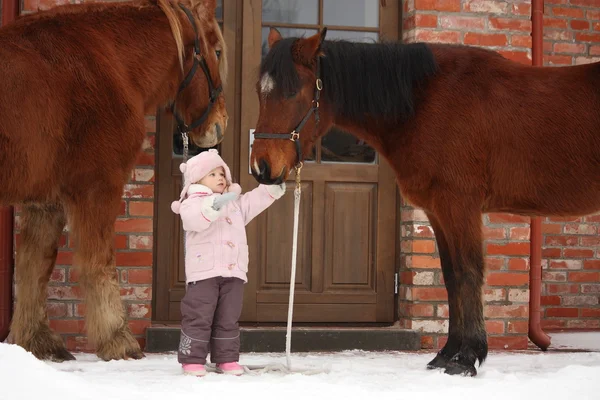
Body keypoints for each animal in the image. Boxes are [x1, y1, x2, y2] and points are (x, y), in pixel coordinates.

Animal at [0, 0, 227, 360]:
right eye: (217, 51)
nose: (220, 125)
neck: (109, 63)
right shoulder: (98, 188)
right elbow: (99, 263)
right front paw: (117, 339)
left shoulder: (46, 202)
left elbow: (34, 266)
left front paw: (36, 340)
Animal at [251, 28, 600, 378]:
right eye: (259, 91)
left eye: (292, 91)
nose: (261, 168)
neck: (425, 101)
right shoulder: (438, 211)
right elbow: (450, 276)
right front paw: (446, 354)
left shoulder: (460, 206)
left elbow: (468, 272)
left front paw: (467, 358)